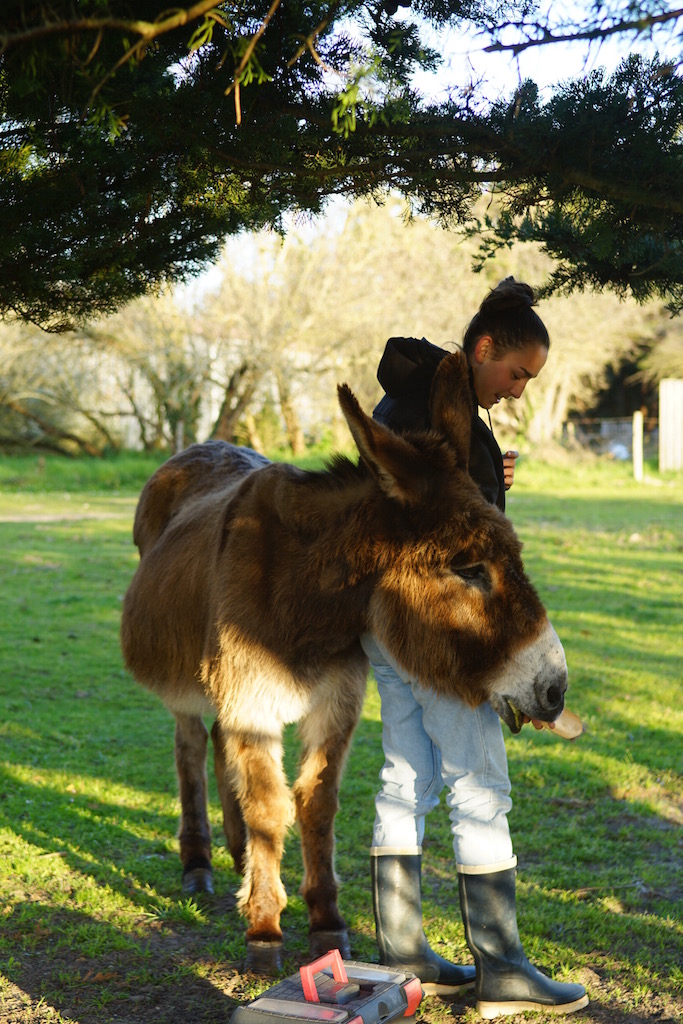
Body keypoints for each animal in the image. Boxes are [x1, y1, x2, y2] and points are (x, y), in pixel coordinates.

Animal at [120, 350, 568, 972]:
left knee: (216, 747)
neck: (308, 598)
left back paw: (237, 859)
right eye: (470, 568)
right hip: (190, 684)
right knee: (189, 749)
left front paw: (324, 923)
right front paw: (264, 930)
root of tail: (198, 446)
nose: (557, 688)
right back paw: (199, 866)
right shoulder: (251, 702)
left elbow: (317, 804)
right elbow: (269, 808)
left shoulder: (335, 702)